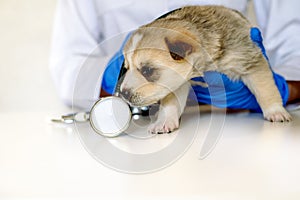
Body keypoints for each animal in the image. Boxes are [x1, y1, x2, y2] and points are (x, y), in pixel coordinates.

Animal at [119, 5, 290, 134]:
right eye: (126, 68)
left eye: (147, 70)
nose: (123, 93)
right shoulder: (180, 81)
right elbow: (171, 102)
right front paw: (165, 121)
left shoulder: (251, 61)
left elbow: (265, 88)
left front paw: (275, 111)